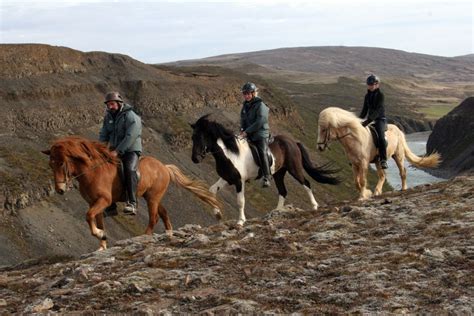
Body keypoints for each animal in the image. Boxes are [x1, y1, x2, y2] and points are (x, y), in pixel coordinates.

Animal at [41, 137, 219, 251]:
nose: (60, 189)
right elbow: (97, 220)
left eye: (62, 163)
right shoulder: (95, 203)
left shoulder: (103, 201)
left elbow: (88, 216)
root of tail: (164, 167)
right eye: (51, 164)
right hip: (152, 196)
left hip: (152, 198)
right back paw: (169, 234)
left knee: (154, 217)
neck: (92, 172)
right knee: (163, 212)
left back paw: (144, 236)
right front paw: (102, 243)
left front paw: (100, 234)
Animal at [190, 115, 340, 226]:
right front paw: (217, 214)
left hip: (294, 169)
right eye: (192, 137)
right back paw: (277, 213)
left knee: (306, 183)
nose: (195, 159)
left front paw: (240, 221)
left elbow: (240, 201)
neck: (229, 153)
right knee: (283, 191)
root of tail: (293, 142)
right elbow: (211, 191)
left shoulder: (239, 181)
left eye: (201, 137)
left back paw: (314, 206)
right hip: (279, 173)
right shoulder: (226, 178)